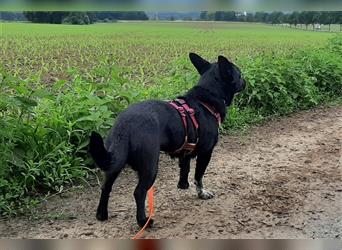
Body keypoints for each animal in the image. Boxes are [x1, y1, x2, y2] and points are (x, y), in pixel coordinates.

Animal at [89, 52, 246, 227]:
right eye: (239, 75)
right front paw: (202, 193)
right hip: (150, 165)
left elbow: (185, 168)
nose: (245, 80)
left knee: (106, 187)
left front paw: (183, 185)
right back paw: (143, 221)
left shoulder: (186, 149)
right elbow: (199, 176)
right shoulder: (206, 153)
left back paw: (102, 214)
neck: (207, 98)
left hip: (115, 161)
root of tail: (125, 125)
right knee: (139, 192)